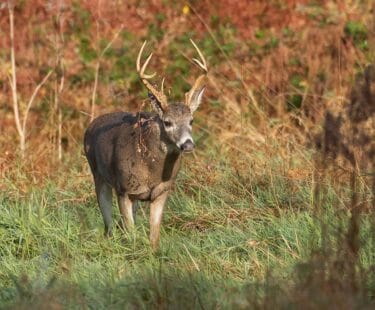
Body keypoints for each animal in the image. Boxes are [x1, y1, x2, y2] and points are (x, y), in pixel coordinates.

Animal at [84, 40, 209, 251]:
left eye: (191, 120)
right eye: (167, 122)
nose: (188, 144)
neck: (152, 170)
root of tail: (91, 125)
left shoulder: (162, 191)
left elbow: (154, 235)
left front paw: (153, 252)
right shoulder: (124, 190)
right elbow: (131, 234)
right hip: (98, 175)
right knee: (108, 225)